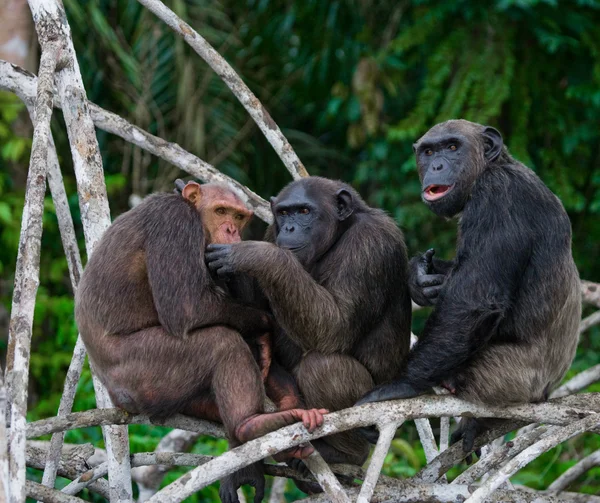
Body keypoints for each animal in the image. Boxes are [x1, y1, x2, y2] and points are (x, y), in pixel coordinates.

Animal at [77, 182, 328, 503]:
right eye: (220, 211)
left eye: (238, 216)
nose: (231, 230)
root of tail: (117, 399)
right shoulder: (173, 222)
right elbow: (188, 308)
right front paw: (264, 325)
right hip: (143, 374)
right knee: (222, 342)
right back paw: (250, 425)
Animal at [206, 177, 412, 468]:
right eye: (284, 213)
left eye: (304, 211)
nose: (290, 227)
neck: (338, 235)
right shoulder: (272, 231)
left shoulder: (371, 243)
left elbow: (335, 326)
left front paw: (255, 255)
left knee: (324, 367)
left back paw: (345, 454)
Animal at [356, 119, 580, 456]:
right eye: (428, 151)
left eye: (452, 147)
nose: (436, 165)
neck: (493, 167)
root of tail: (545, 393)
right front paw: (419, 277)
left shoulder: (498, 197)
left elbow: (472, 299)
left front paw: (401, 385)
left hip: (505, 377)